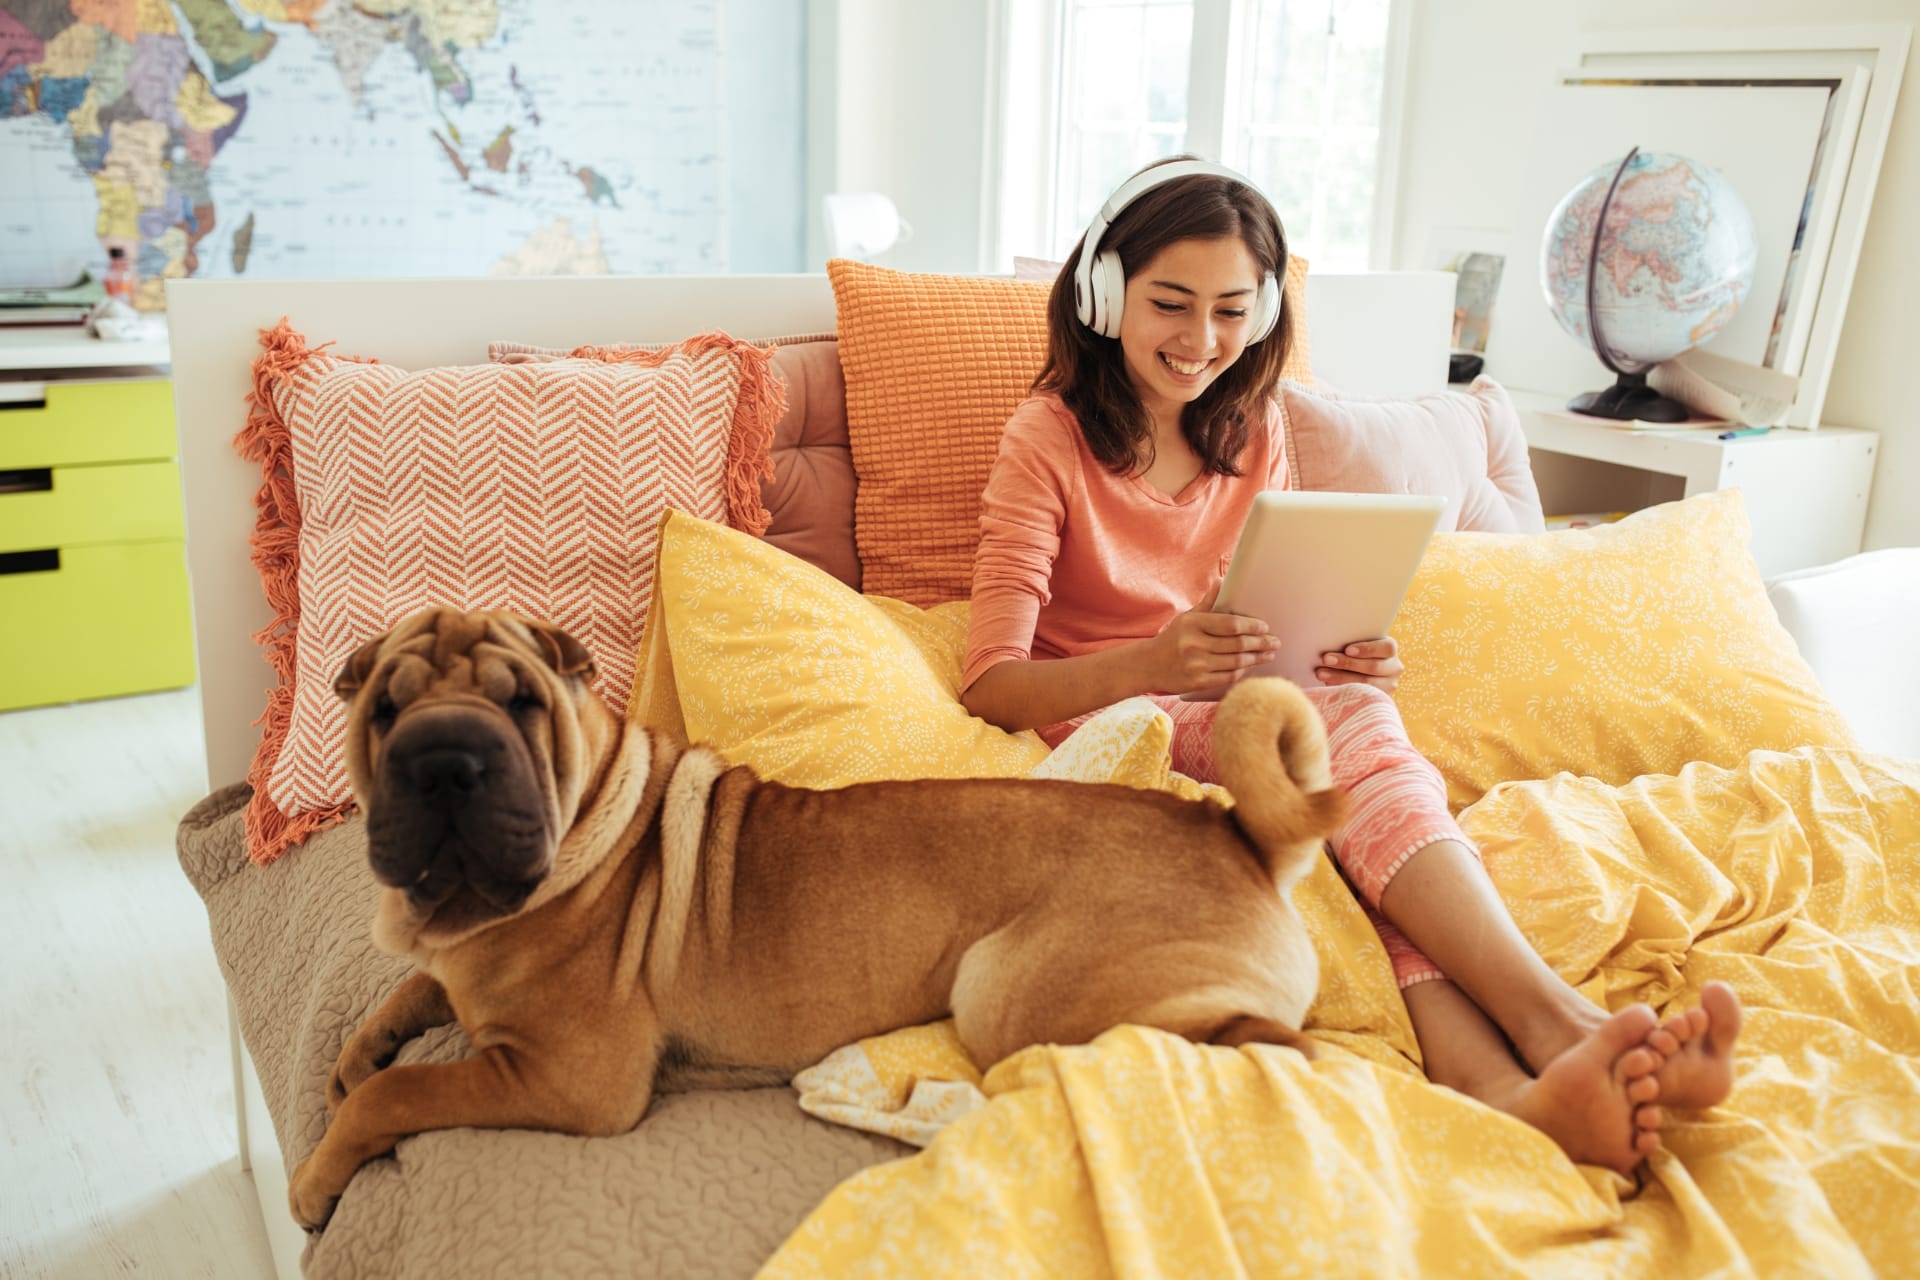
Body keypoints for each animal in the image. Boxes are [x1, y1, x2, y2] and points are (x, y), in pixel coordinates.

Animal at [288, 606, 1351, 1228]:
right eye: (383, 711)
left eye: (523, 704)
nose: (445, 756)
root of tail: (1243, 835)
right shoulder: (457, 975)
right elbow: (407, 995)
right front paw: (354, 1053)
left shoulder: (567, 1078)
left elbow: (401, 1094)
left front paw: (316, 1178)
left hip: (1010, 995)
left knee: (1260, 1045)